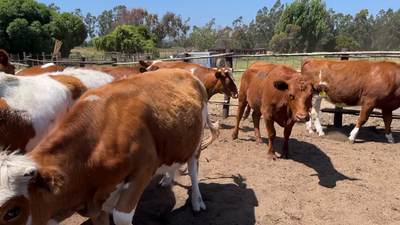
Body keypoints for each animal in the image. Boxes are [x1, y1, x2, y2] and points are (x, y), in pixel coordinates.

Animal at [0, 68, 219, 225]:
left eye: (12, 212)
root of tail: (185, 72)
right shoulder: (96, 203)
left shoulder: (141, 172)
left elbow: (121, 216)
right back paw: (167, 178)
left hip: (196, 140)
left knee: (193, 169)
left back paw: (197, 201)